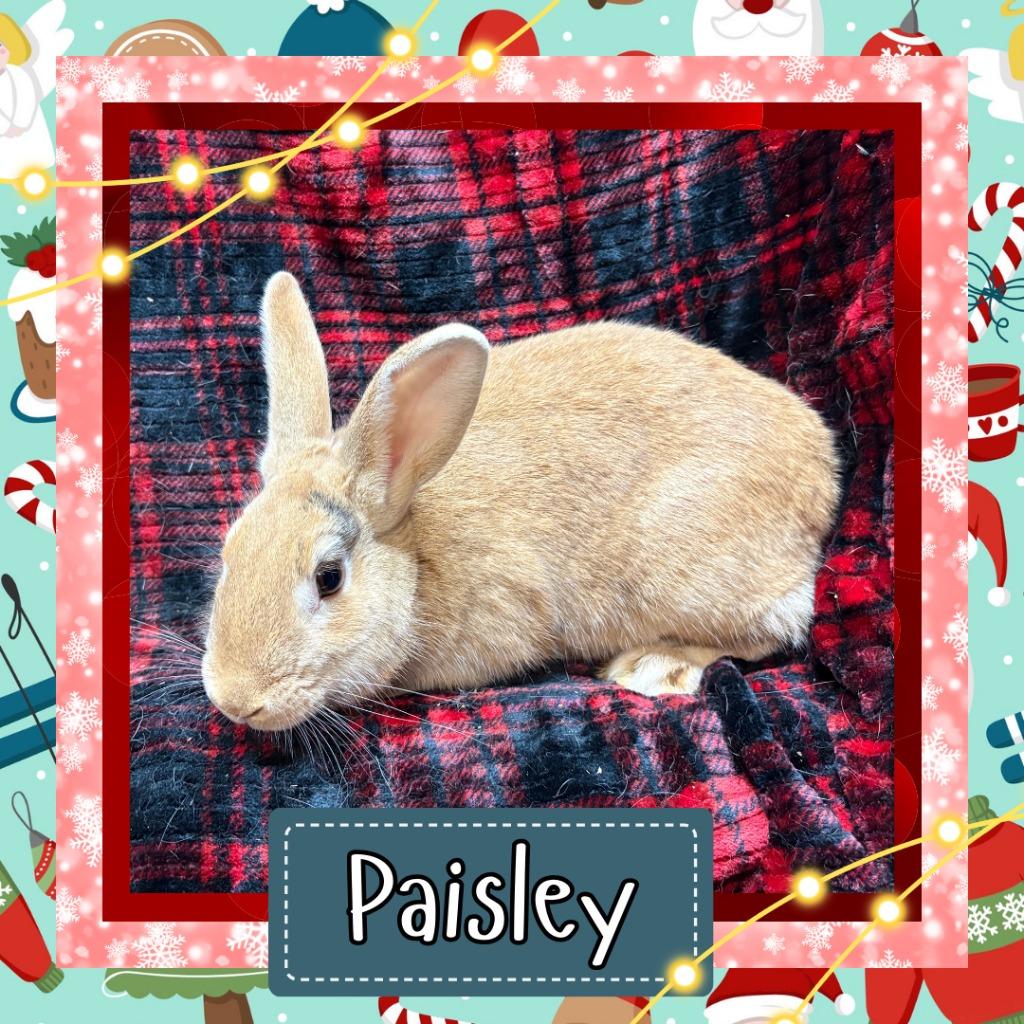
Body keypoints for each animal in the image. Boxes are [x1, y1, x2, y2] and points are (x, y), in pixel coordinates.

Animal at [201, 272, 839, 731]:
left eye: (328, 577)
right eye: (229, 556)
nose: (236, 701)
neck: (418, 557)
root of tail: (823, 471)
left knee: (776, 628)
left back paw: (651, 667)